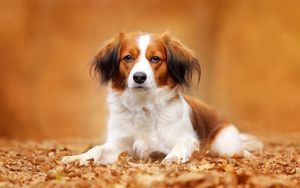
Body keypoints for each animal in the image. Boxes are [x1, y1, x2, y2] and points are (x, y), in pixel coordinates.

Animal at [61, 32, 262, 164]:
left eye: (155, 58)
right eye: (128, 57)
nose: (139, 77)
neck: (143, 106)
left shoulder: (186, 138)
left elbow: (180, 146)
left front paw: (172, 158)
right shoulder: (120, 145)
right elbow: (97, 149)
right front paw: (78, 157)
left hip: (225, 143)